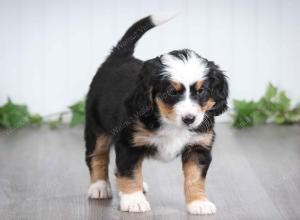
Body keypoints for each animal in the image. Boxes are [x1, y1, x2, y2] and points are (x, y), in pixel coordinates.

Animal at [84, 12, 227, 215]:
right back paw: (99, 187)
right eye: (171, 92)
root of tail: (119, 56)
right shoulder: (129, 143)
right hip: (96, 128)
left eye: (202, 91)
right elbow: (129, 172)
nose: (189, 119)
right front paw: (133, 200)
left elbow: (195, 178)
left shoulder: (198, 147)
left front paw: (198, 202)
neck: (171, 123)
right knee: (97, 156)